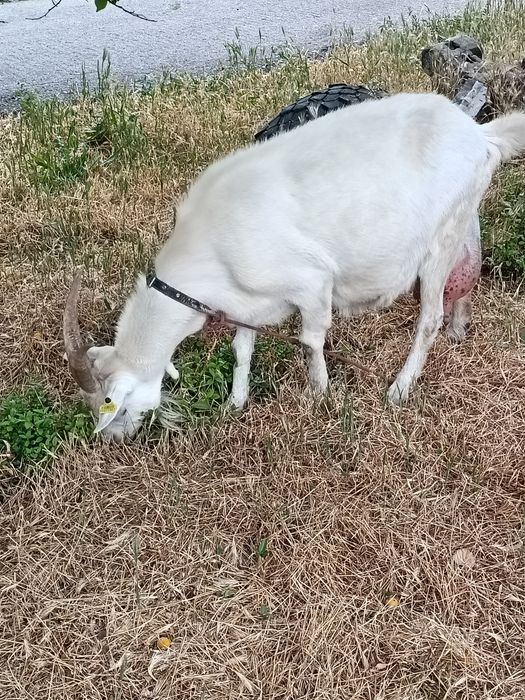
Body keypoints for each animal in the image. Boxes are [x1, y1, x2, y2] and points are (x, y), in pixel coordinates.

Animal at [63, 92, 525, 440]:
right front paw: (235, 403)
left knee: (428, 317)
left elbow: (309, 341)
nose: (117, 441)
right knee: (467, 270)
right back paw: (459, 330)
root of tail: (480, 133)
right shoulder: (246, 301)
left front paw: (320, 394)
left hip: (439, 239)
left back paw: (400, 387)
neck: (209, 249)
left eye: (115, 408)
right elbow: (241, 349)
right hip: (463, 220)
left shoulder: (311, 281)